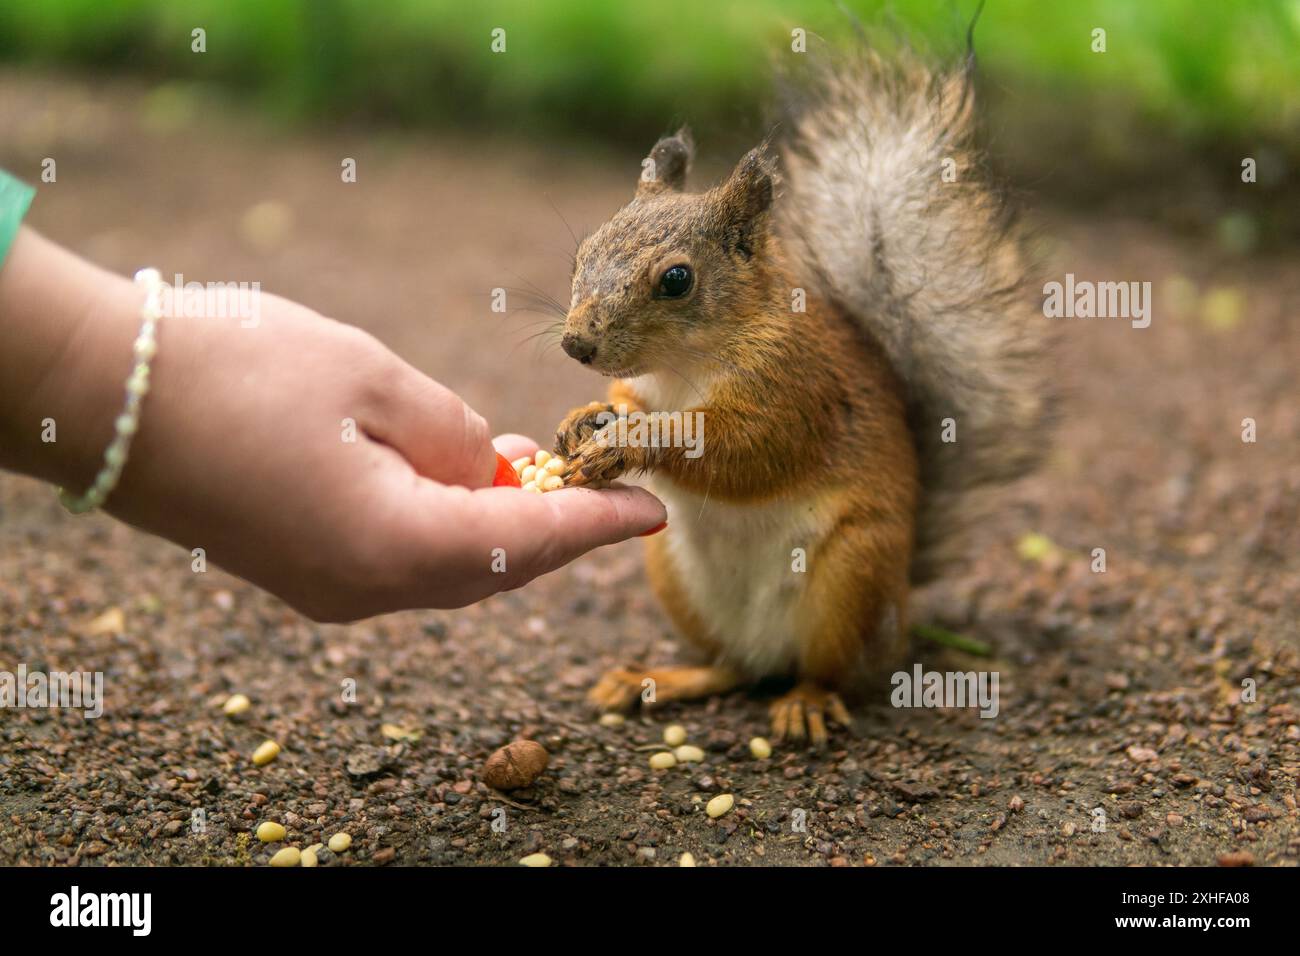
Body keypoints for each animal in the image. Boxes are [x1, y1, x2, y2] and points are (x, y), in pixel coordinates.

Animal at [552, 46, 1051, 747]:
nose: (577, 344)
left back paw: (807, 702)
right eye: (582, 253)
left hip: (852, 575)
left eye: (676, 280)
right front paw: (587, 419)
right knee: (732, 668)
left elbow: (747, 450)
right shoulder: (650, 384)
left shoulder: (799, 387)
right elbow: (629, 398)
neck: (682, 368)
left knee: (830, 671)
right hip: (675, 577)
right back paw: (659, 679)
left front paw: (633, 442)